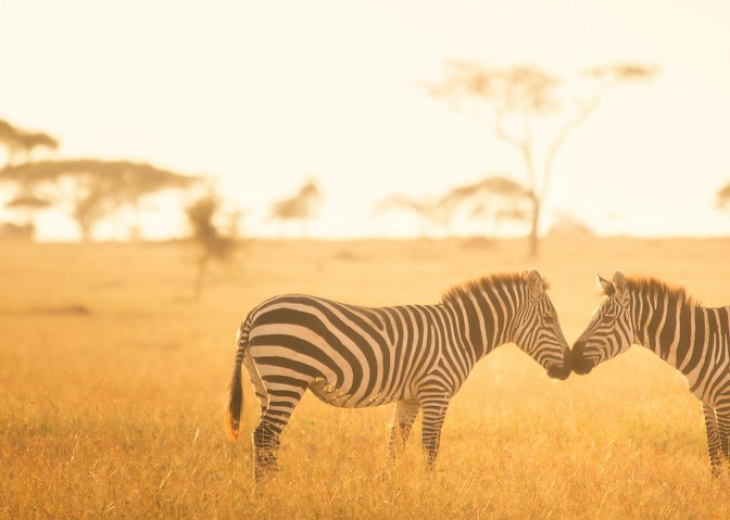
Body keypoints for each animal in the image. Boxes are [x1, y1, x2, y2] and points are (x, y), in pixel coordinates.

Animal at [225, 270, 572, 482]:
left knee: (268, 439)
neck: (461, 333)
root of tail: (254, 312)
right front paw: (432, 490)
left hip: (265, 382)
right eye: (549, 319)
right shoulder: (436, 390)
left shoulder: (410, 398)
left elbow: (395, 443)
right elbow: (431, 445)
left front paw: (389, 486)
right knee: (264, 435)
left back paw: (271, 487)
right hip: (287, 376)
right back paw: (267, 493)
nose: (569, 367)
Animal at [572, 272, 728, 476]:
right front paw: (716, 484)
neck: (704, 342)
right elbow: (713, 448)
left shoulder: (724, 399)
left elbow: (725, 448)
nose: (571, 356)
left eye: (608, 318)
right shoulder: (706, 401)